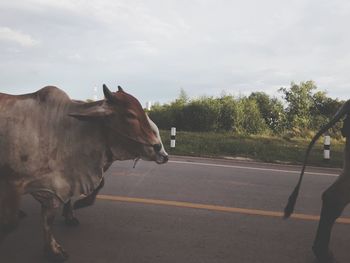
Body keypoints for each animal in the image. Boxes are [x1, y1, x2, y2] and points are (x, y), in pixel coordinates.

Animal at [0, 85, 170, 262]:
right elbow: (9, 224)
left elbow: (49, 218)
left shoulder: (56, 185)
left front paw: (54, 249)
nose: (161, 151)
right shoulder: (13, 183)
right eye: (130, 115)